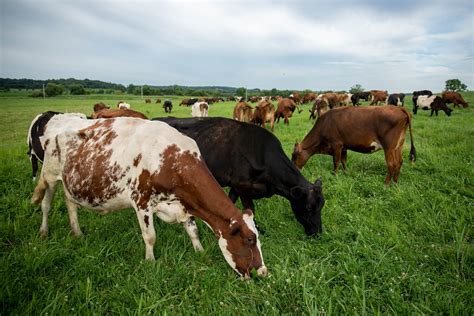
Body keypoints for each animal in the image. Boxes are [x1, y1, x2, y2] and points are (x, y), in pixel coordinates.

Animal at [30, 116, 266, 278]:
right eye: (249, 239)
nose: (263, 272)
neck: (170, 159)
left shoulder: (183, 202)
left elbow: (193, 230)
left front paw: (199, 252)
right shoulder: (141, 200)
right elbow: (150, 235)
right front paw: (150, 262)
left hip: (71, 183)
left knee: (70, 204)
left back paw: (77, 233)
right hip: (49, 175)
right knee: (46, 204)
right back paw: (43, 231)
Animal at [156, 117, 326, 236]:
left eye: (322, 206)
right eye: (309, 207)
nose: (317, 233)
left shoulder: (235, 186)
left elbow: (230, 202)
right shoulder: (242, 186)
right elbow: (250, 208)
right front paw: (257, 230)